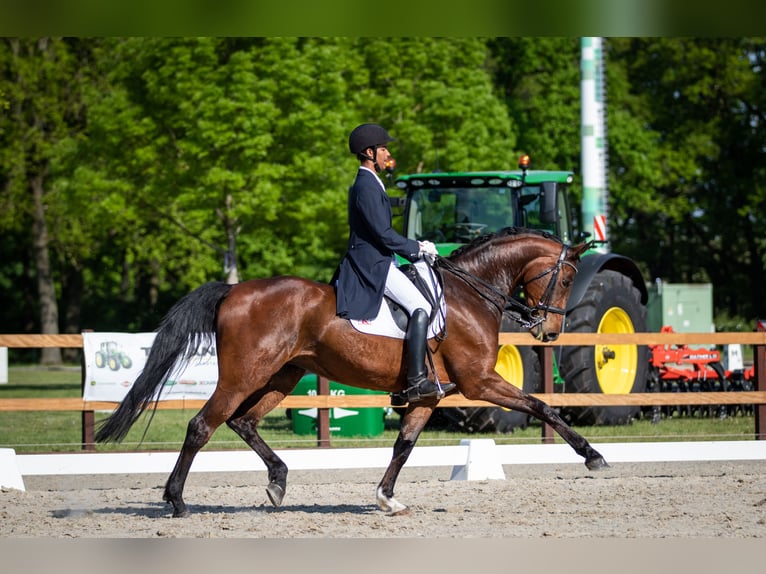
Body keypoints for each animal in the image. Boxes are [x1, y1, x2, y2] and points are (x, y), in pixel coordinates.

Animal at [96, 228, 608, 516]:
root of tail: (233, 291)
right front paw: (592, 455)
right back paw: (177, 501)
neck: (469, 293)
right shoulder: (480, 381)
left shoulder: (428, 395)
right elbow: (542, 405)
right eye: (566, 278)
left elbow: (404, 446)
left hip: (282, 376)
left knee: (244, 421)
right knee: (203, 425)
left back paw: (278, 482)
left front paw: (386, 497)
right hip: (244, 376)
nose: (550, 332)